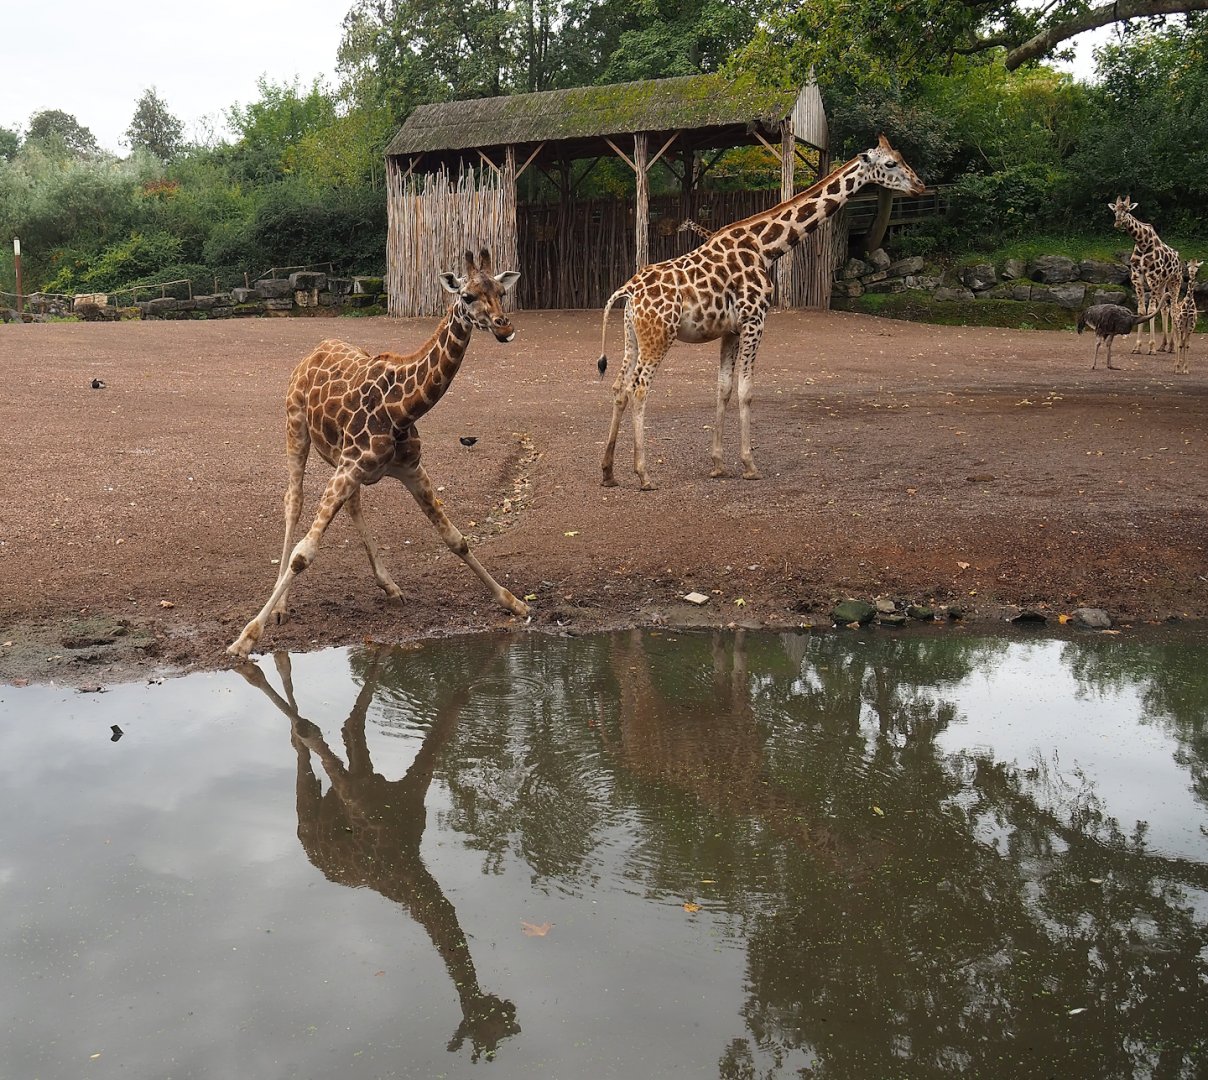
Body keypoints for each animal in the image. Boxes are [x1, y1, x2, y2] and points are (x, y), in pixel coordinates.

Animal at [228, 249, 527, 659]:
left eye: (501, 292)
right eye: (467, 296)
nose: (504, 327)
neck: (402, 409)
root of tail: (314, 349)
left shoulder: (409, 468)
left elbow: (455, 539)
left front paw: (513, 602)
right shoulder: (349, 466)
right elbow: (304, 554)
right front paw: (244, 638)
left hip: (341, 460)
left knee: (353, 506)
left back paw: (389, 585)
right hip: (295, 428)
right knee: (294, 502)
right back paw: (282, 607)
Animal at [598, 135, 924, 490]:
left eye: (901, 158)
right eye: (890, 163)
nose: (919, 185)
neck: (766, 247)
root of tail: (628, 291)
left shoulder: (730, 329)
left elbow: (724, 388)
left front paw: (718, 464)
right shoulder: (755, 319)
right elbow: (746, 390)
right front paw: (749, 464)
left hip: (633, 336)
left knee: (619, 387)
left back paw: (608, 472)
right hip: (659, 336)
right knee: (640, 388)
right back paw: (644, 474)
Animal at [1109, 196, 1182, 355]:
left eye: (1128, 210)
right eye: (1115, 210)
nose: (1118, 223)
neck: (1142, 243)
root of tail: (1180, 260)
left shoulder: (1153, 277)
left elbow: (1151, 311)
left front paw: (1151, 347)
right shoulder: (1137, 277)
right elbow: (1142, 311)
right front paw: (1137, 347)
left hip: (1174, 282)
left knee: (1174, 309)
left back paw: (1173, 346)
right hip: (1162, 284)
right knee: (1165, 309)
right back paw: (1164, 346)